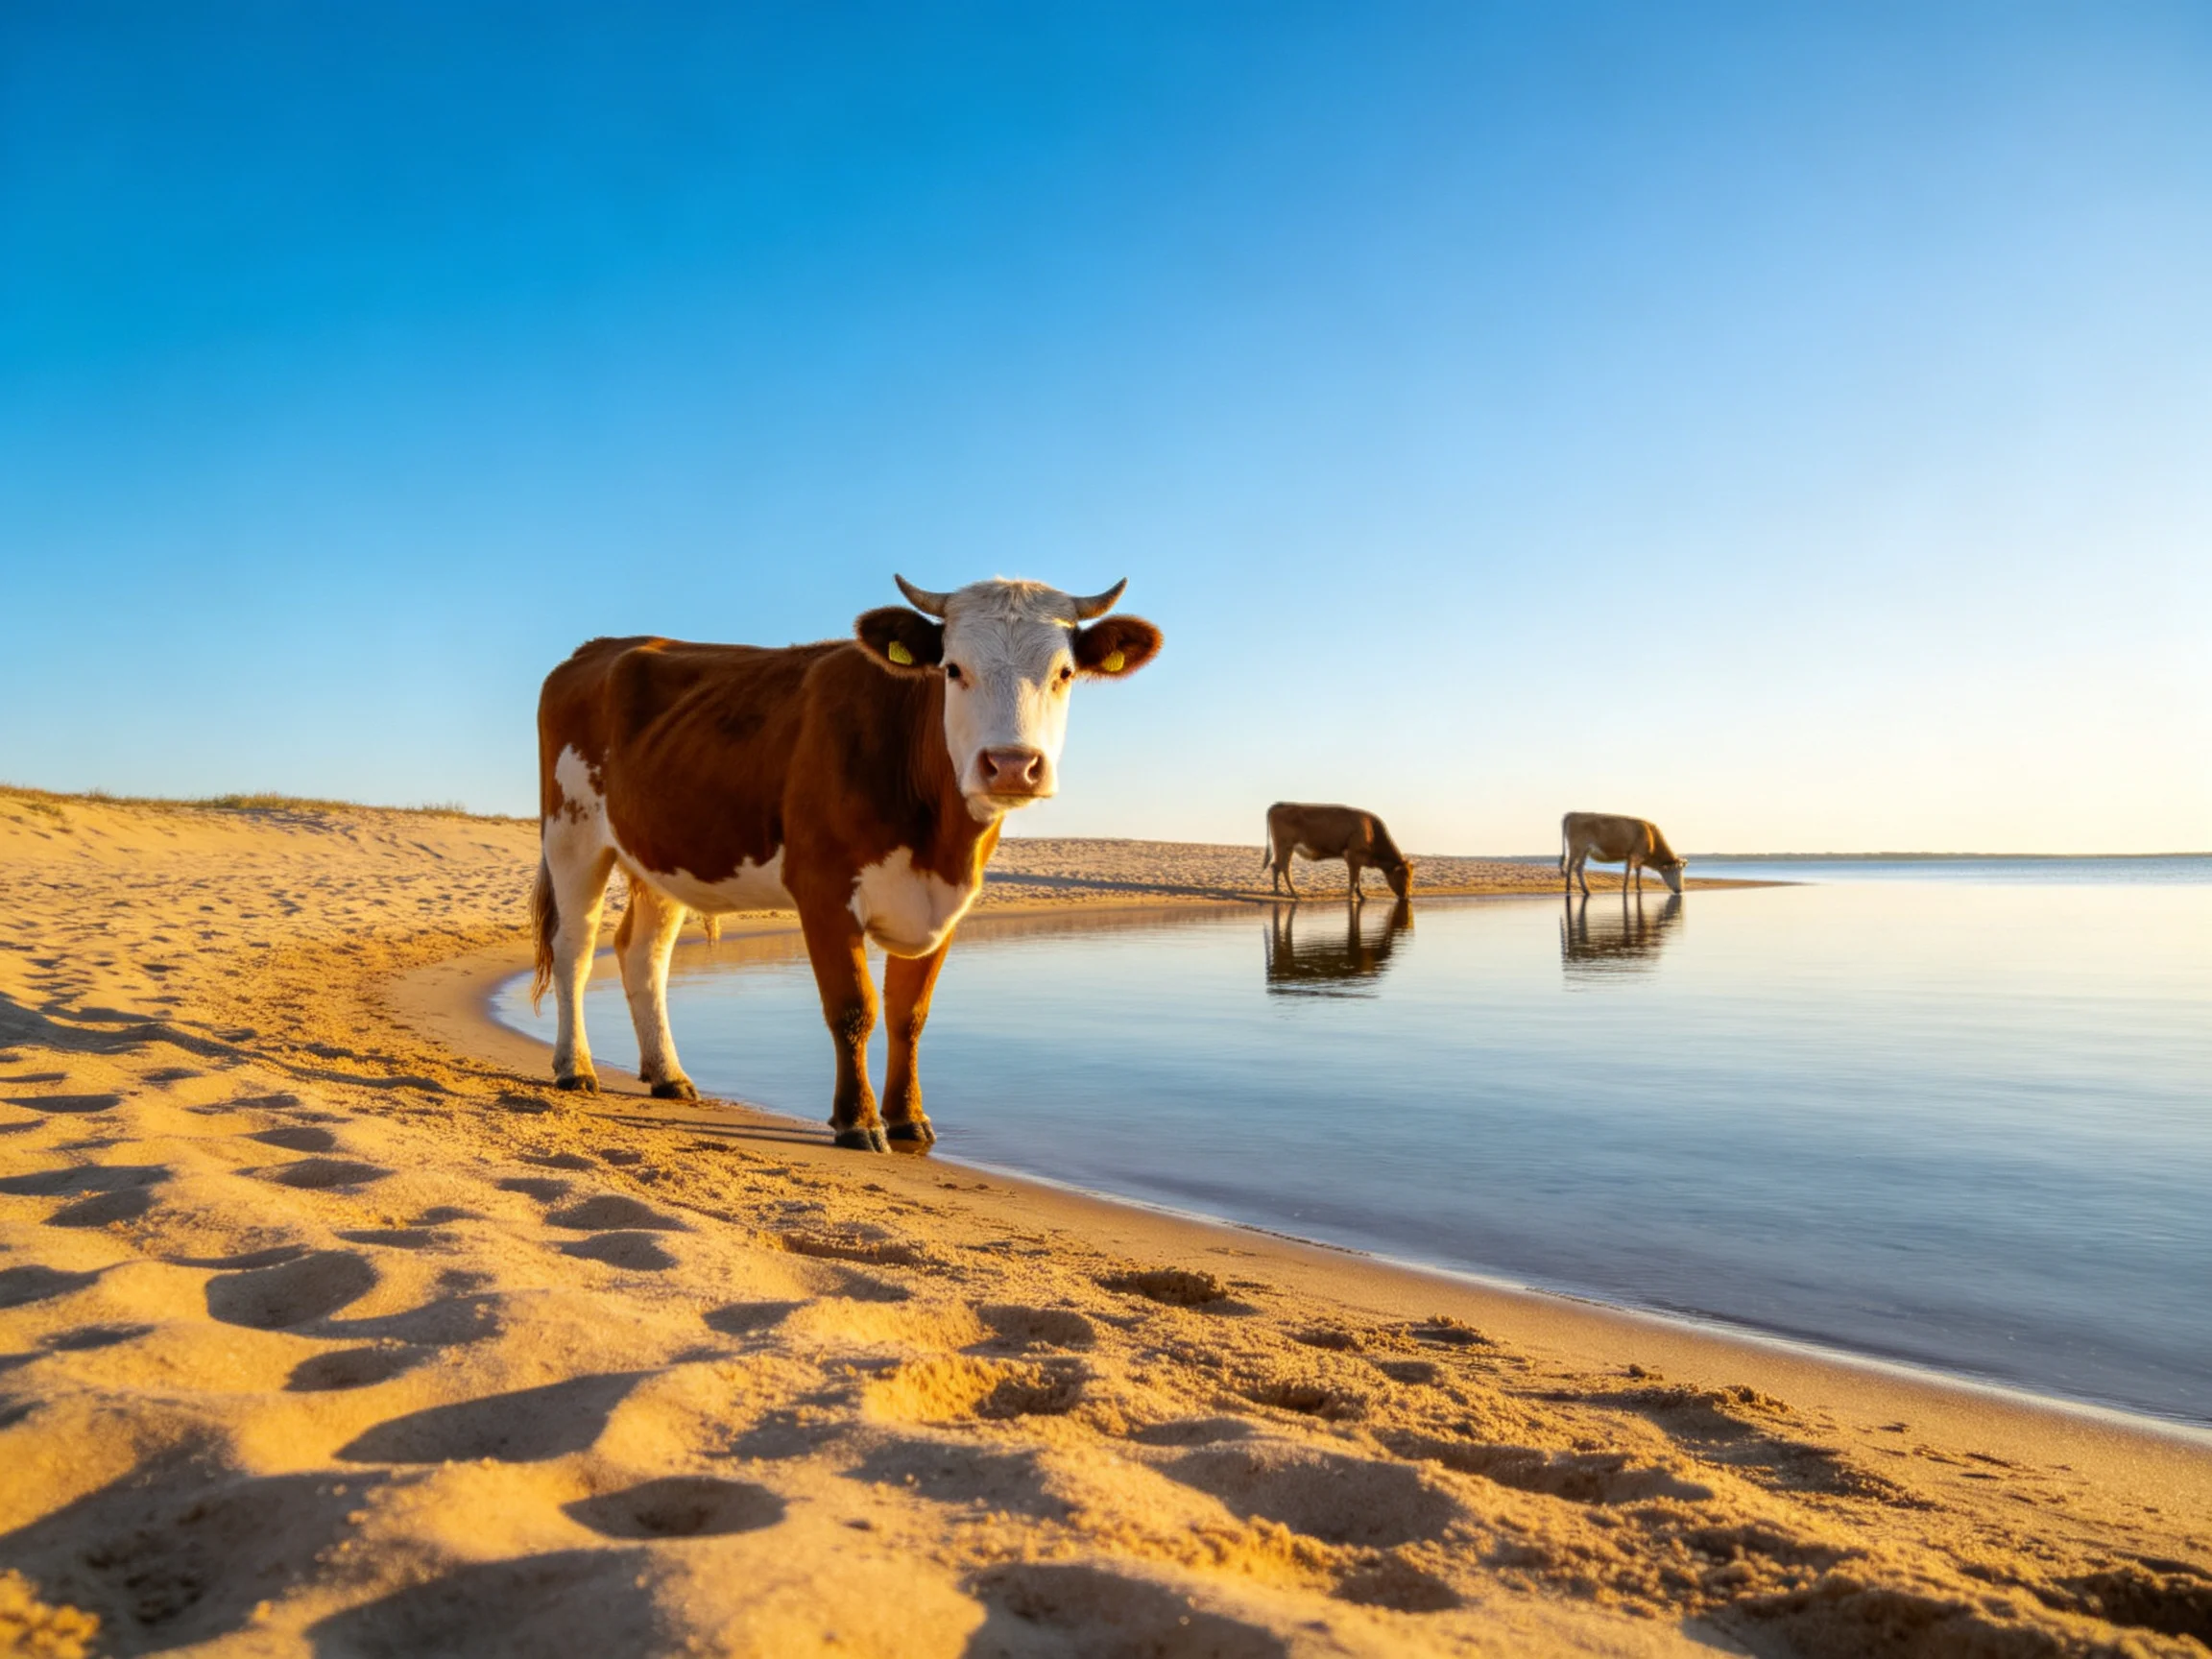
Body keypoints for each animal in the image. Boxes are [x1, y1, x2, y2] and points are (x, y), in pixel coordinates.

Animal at [530, 576, 1162, 1151]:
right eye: (953, 669)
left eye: (1065, 673)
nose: (1010, 765)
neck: (938, 839)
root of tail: (596, 649)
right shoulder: (824, 890)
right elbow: (854, 1008)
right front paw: (857, 1121)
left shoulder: (945, 906)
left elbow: (909, 1014)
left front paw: (907, 1118)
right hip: (572, 832)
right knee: (574, 946)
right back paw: (574, 1066)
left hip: (659, 854)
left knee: (644, 954)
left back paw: (668, 1075)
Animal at [1260, 802, 1414, 902]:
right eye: (1404, 876)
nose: (1406, 896)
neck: (1372, 832)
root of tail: (1280, 804)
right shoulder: (1352, 855)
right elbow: (1353, 880)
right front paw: (1351, 897)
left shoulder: (1357, 860)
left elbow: (1357, 878)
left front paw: (1362, 896)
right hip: (1284, 845)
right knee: (1283, 867)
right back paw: (1294, 894)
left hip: (1285, 848)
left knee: (1277, 866)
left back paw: (1278, 891)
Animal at [1560, 811, 1685, 896]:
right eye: (1676, 872)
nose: (1680, 890)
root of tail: (1573, 813)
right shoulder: (1634, 854)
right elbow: (1628, 872)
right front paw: (1625, 889)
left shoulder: (1636, 857)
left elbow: (1638, 872)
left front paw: (1639, 888)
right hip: (1578, 848)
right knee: (1575, 867)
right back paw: (1582, 890)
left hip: (1582, 851)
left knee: (1575, 867)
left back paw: (1572, 889)